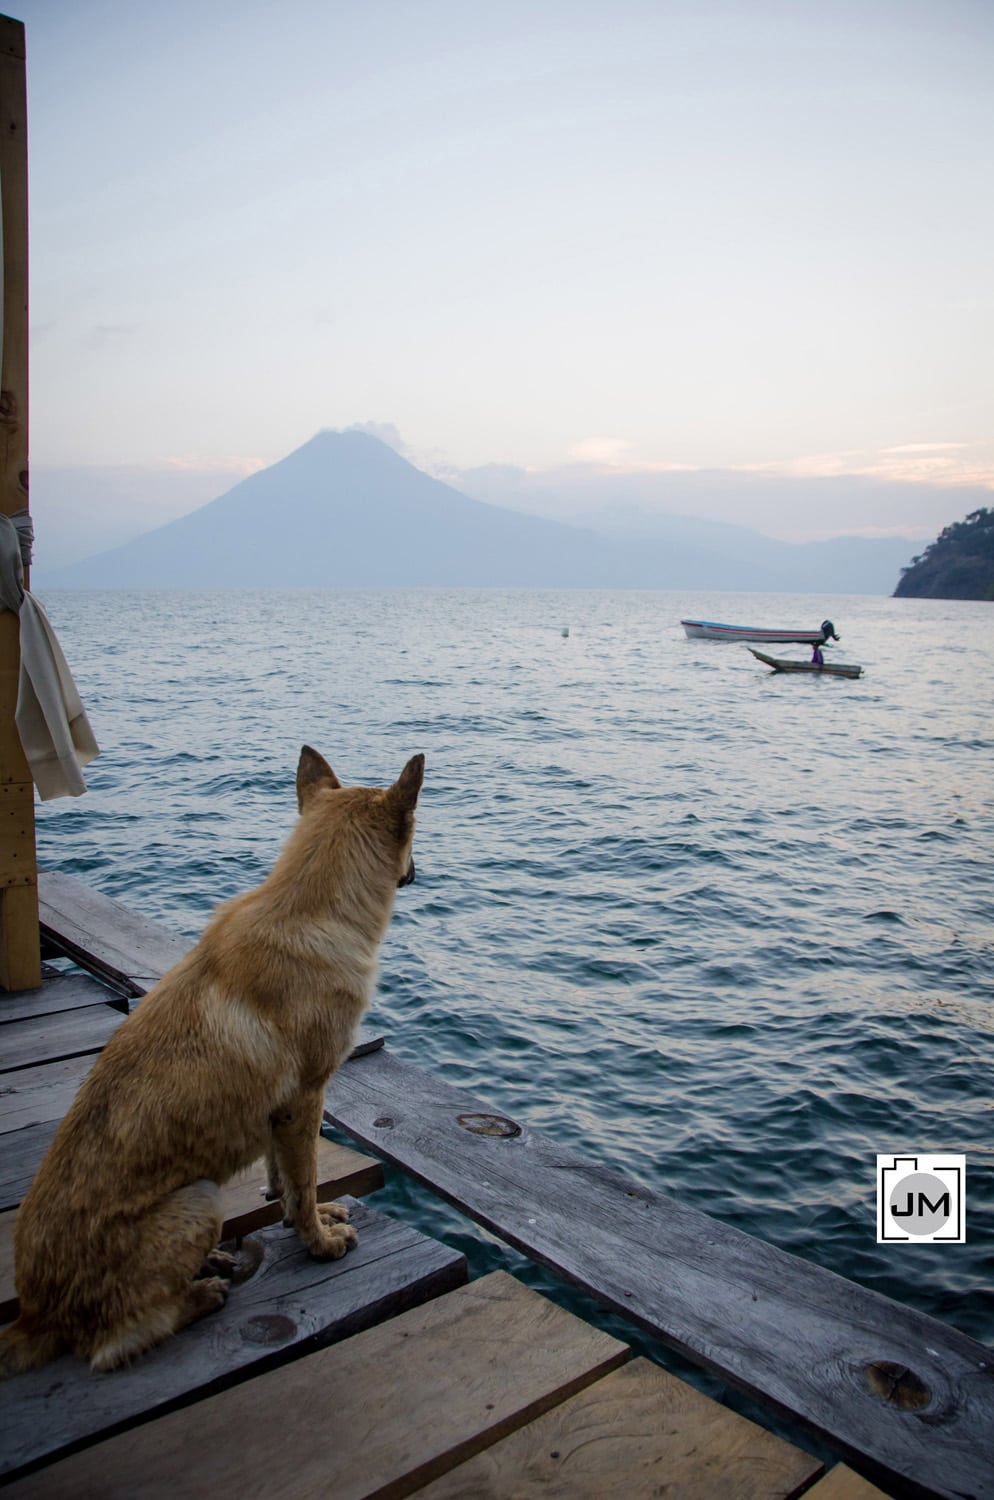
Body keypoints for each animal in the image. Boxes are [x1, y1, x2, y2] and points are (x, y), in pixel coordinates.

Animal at [0, 744, 422, 1374]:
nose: (418, 870)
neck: (309, 908)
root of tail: (34, 1316)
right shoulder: (305, 1099)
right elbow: (304, 1181)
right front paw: (319, 1242)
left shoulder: (279, 1113)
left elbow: (285, 1179)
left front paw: (303, 1216)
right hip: (199, 1199)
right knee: (116, 1343)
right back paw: (203, 1293)